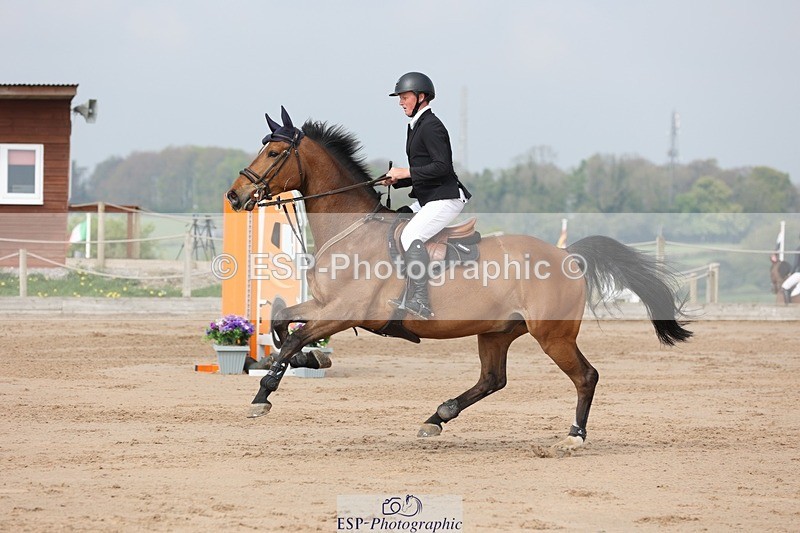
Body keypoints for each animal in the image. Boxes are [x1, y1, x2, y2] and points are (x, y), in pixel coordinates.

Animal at [225, 107, 692, 450]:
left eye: (273, 154)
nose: (235, 196)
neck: (352, 230)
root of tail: (567, 255)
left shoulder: (345, 312)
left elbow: (294, 337)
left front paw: (263, 396)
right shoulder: (324, 306)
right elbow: (281, 323)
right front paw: (296, 363)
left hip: (552, 335)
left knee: (585, 376)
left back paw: (574, 436)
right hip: (498, 331)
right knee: (493, 379)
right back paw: (437, 418)